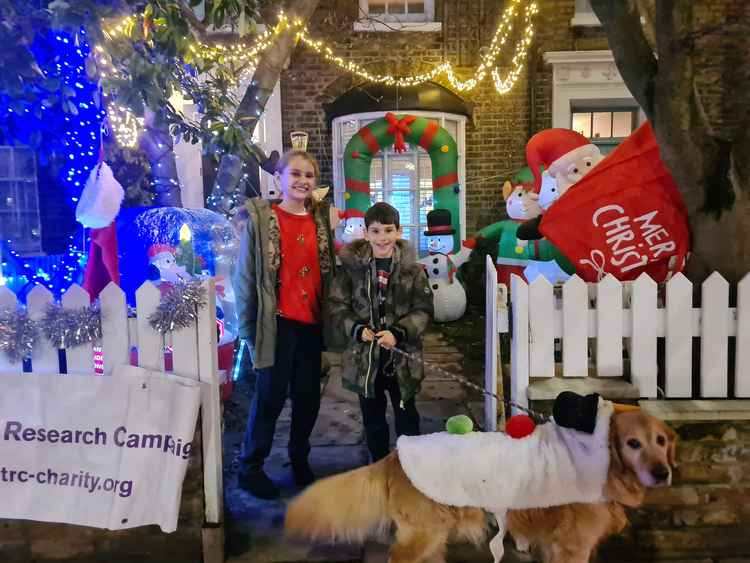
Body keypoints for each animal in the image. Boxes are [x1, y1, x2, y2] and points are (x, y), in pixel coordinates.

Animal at [284, 410, 680, 563]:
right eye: (633, 443)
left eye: (661, 441)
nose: (662, 473)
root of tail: (396, 454)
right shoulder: (574, 546)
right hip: (422, 534)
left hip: (432, 535)